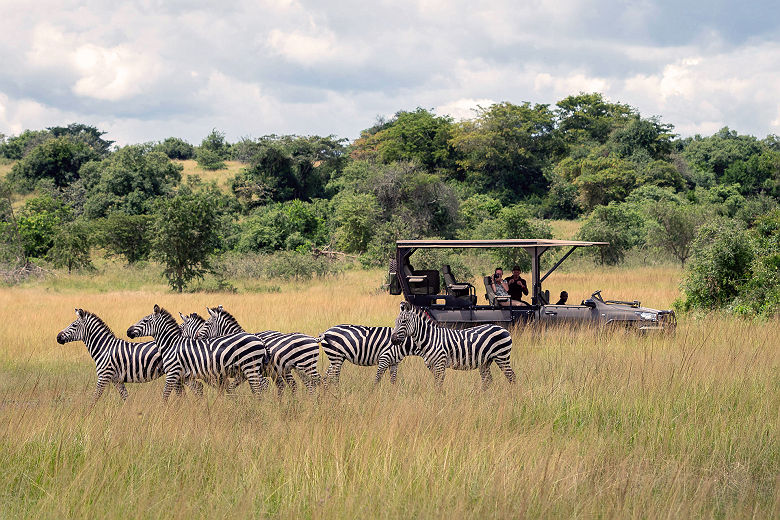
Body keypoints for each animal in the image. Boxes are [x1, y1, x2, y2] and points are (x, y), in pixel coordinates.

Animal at [57, 308, 204, 402]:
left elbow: (94, 398)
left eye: (74, 325)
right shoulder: (117, 380)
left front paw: (86, 416)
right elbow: (125, 398)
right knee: (196, 388)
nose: (58, 337)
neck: (104, 348)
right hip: (182, 374)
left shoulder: (104, 376)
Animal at [128, 302, 272, 400]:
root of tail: (259, 340)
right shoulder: (186, 375)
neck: (171, 344)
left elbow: (166, 394)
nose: (128, 331)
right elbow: (197, 391)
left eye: (145, 320)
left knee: (260, 387)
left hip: (251, 367)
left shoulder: (173, 372)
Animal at [380, 298, 516, 388]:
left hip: (502, 357)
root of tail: (503, 329)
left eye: (403, 321)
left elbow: (439, 385)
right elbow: (437, 384)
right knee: (488, 381)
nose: (393, 340)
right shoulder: (432, 365)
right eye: (396, 321)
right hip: (485, 362)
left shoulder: (440, 364)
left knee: (512, 377)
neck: (431, 338)